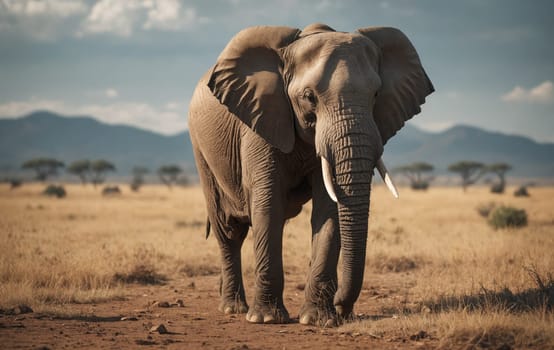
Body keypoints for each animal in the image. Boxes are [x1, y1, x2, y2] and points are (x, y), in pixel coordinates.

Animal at [188, 23, 434, 326]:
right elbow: (268, 203)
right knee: (228, 229)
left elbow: (329, 207)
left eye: (376, 95)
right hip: (201, 149)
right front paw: (267, 319)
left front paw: (319, 320)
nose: (343, 307)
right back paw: (233, 309)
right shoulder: (261, 118)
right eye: (308, 97)